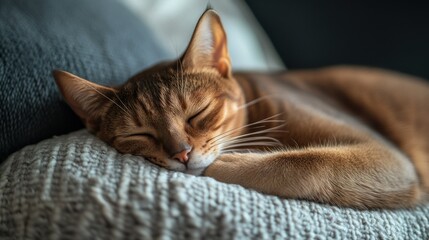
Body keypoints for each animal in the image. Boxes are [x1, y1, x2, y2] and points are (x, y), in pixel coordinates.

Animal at [54, 9, 428, 208]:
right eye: (139, 133)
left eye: (198, 112)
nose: (182, 154)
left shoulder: (390, 158)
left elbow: (306, 162)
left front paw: (231, 163)